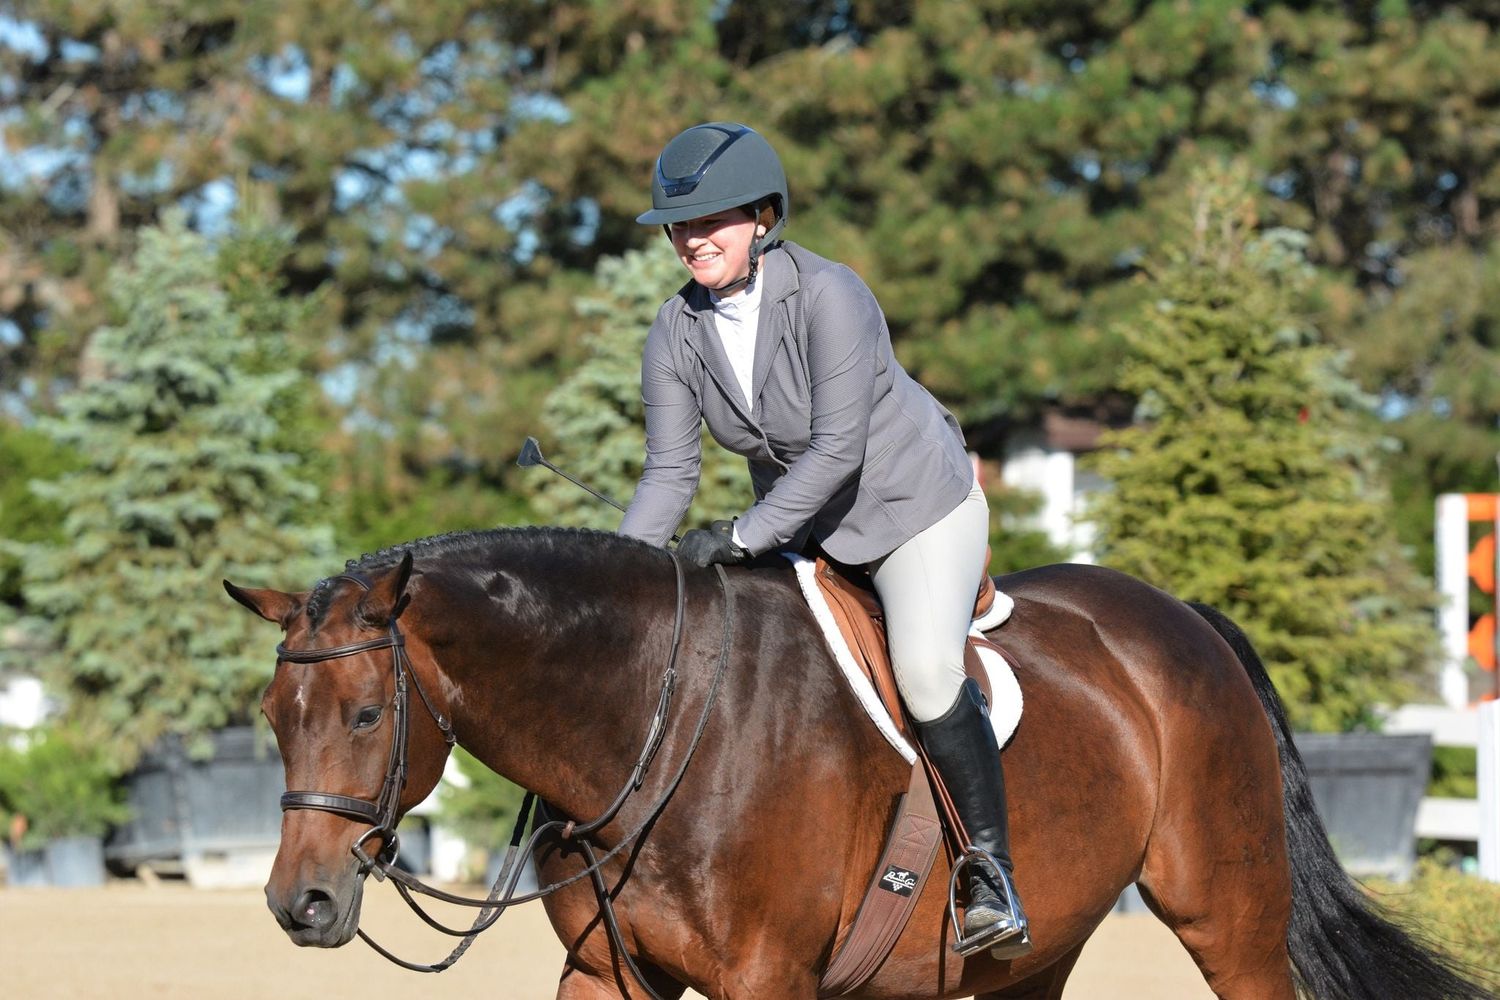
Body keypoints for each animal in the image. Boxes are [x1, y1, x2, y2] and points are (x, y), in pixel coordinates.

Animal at [225, 526, 1490, 999]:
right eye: (274, 715)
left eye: (363, 713)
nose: (300, 902)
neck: (651, 723)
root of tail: (1179, 617)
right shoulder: (607, 974)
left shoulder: (767, 978)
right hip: (1026, 958)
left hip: (1225, 912)